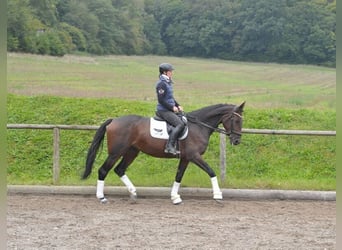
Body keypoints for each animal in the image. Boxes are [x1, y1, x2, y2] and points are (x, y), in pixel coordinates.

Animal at [81, 101, 244, 203]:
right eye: (236, 121)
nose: (236, 141)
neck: (199, 126)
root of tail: (114, 120)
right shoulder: (194, 156)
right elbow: (211, 171)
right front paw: (218, 195)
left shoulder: (185, 158)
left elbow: (178, 176)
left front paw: (175, 197)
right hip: (116, 152)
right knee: (103, 170)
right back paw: (102, 197)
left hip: (132, 151)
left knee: (119, 169)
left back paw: (133, 192)